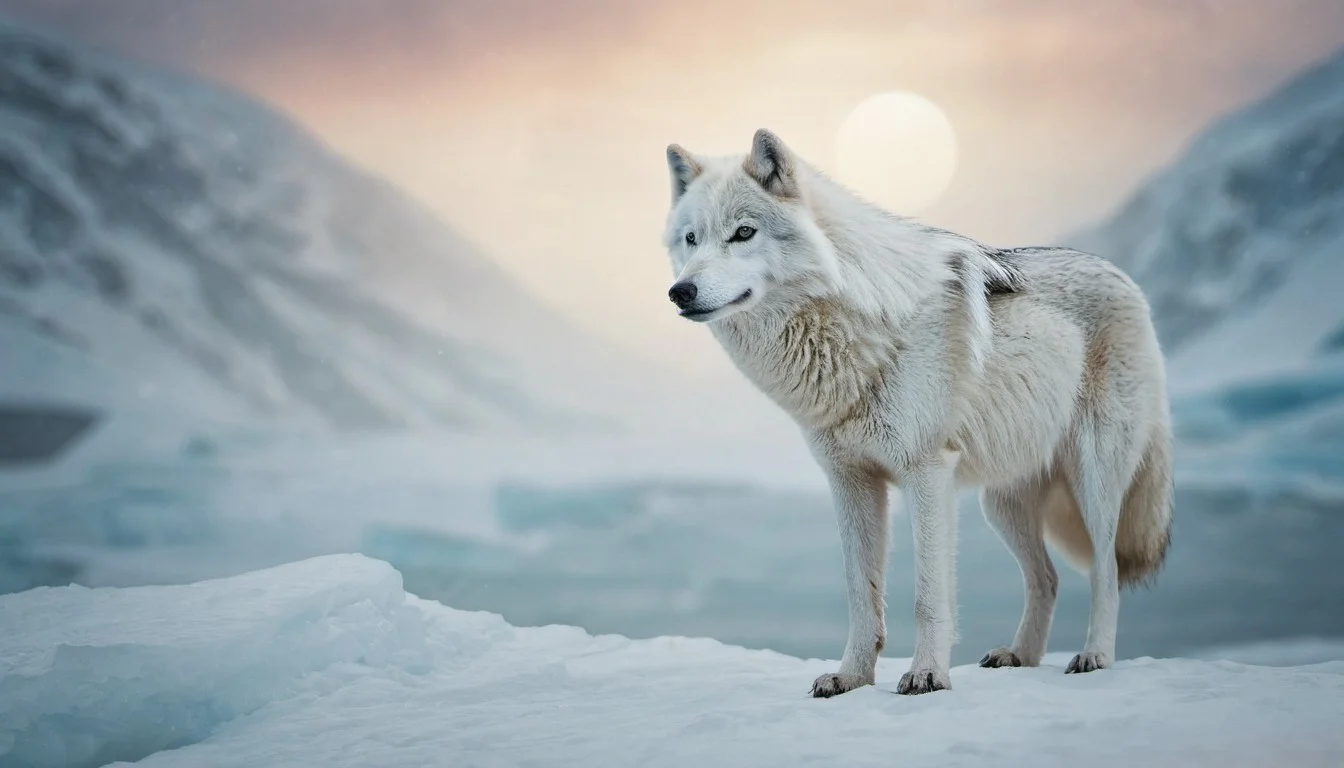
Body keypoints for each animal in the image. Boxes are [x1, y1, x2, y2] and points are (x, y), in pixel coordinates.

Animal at [659, 129, 1173, 697]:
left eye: (744, 233)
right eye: (691, 239)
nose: (680, 291)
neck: (857, 329)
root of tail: (1128, 280)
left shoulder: (926, 473)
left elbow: (928, 596)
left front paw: (927, 674)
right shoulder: (851, 482)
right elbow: (861, 594)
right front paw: (851, 677)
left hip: (1093, 482)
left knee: (1105, 572)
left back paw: (1094, 656)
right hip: (1001, 504)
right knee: (1047, 578)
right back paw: (1020, 655)